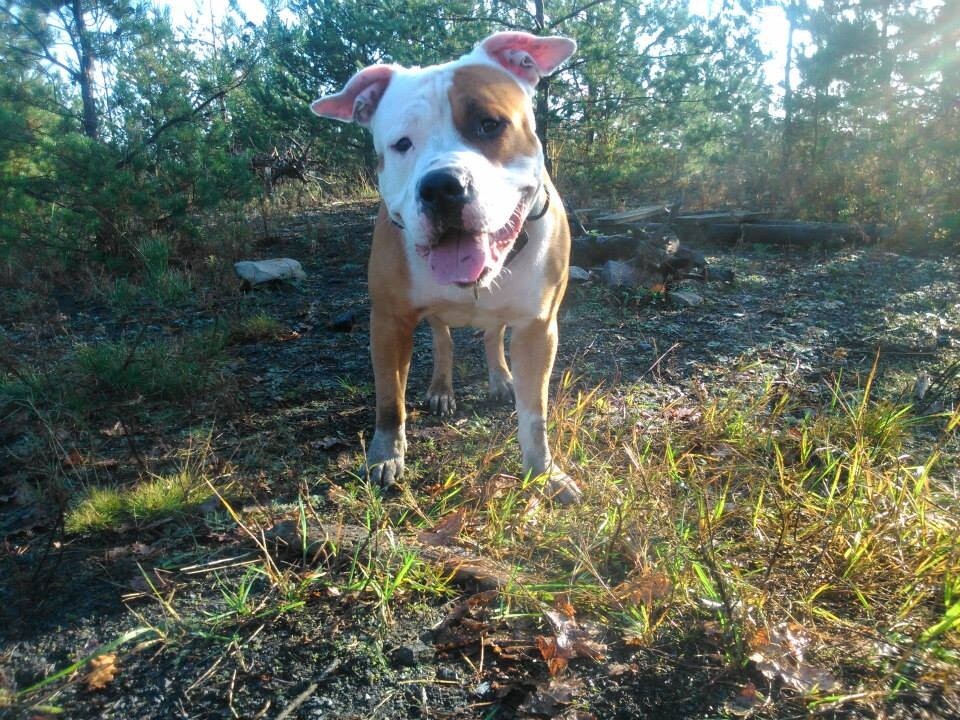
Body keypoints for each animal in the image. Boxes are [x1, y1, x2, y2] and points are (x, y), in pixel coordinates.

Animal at [311, 32, 579, 503]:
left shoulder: (538, 327)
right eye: (402, 143)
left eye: (489, 125)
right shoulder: (389, 321)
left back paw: (500, 378)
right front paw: (386, 456)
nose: (441, 187)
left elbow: (535, 414)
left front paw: (545, 473)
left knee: (491, 333)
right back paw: (440, 389)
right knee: (443, 339)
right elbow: (390, 400)